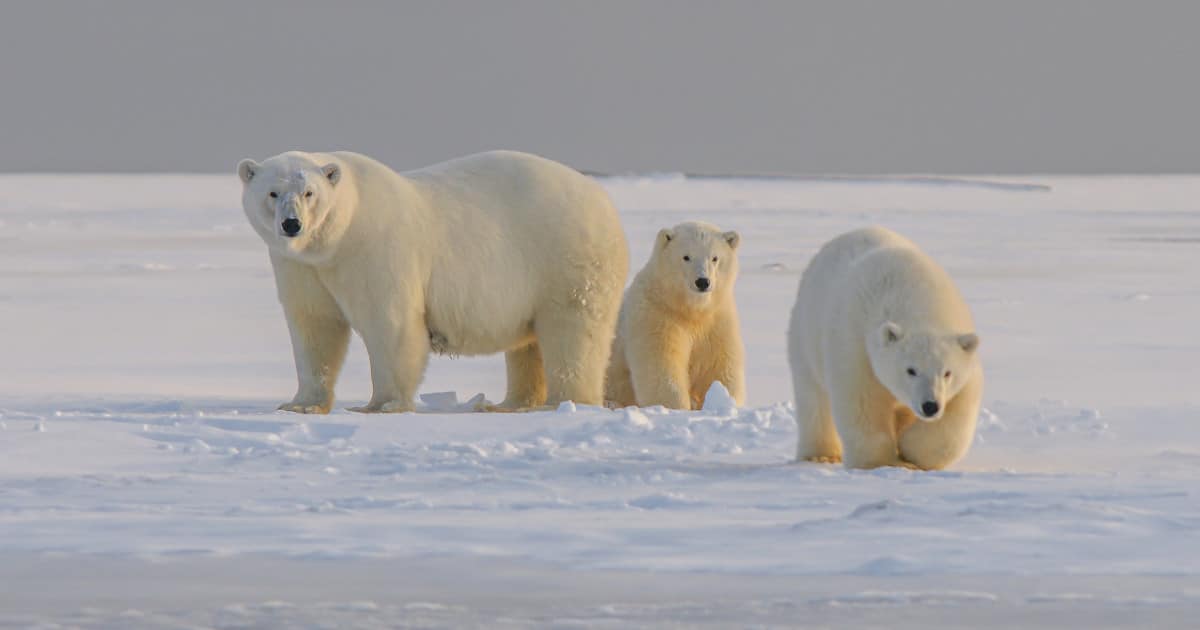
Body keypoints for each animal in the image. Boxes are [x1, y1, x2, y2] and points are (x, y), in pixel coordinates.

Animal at [234, 148, 628, 412]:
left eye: (309, 193)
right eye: (272, 192)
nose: (291, 224)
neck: (339, 237)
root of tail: (603, 199)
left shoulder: (376, 249)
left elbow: (390, 324)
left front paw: (382, 405)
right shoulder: (300, 267)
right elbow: (315, 326)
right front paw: (300, 404)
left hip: (564, 258)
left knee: (572, 332)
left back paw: (565, 401)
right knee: (528, 344)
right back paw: (509, 403)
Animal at [609, 220, 739, 408]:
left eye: (715, 258)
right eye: (686, 257)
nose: (702, 282)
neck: (689, 309)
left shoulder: (717, 320)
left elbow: (717, 366)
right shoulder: (657, 315)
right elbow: (662, 366)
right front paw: (677, 407)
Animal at [787, 225, 984, 465]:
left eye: (947, 372)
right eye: (911, 370)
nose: (930, 406)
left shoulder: (965, 364)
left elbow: (957, 414)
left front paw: (909, 450)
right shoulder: (855, 346)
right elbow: (863, 403)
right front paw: (880, 461)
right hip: (805, 334)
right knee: (813, 398)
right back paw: (820, 455)